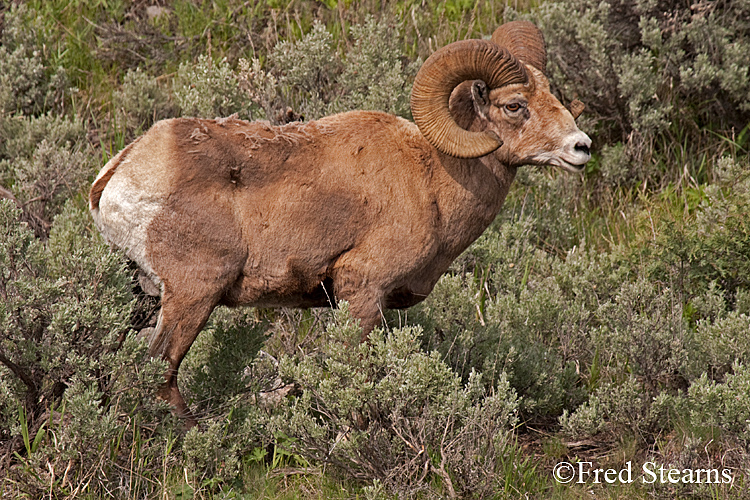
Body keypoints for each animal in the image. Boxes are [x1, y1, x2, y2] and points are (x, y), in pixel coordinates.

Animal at [89, 21, 591, 425]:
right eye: (515, 106)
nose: (581, 147)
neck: (433, 177)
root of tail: (120, 171)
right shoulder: (362, 289)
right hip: (193, 295)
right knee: (160, 369)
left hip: (146, 295)